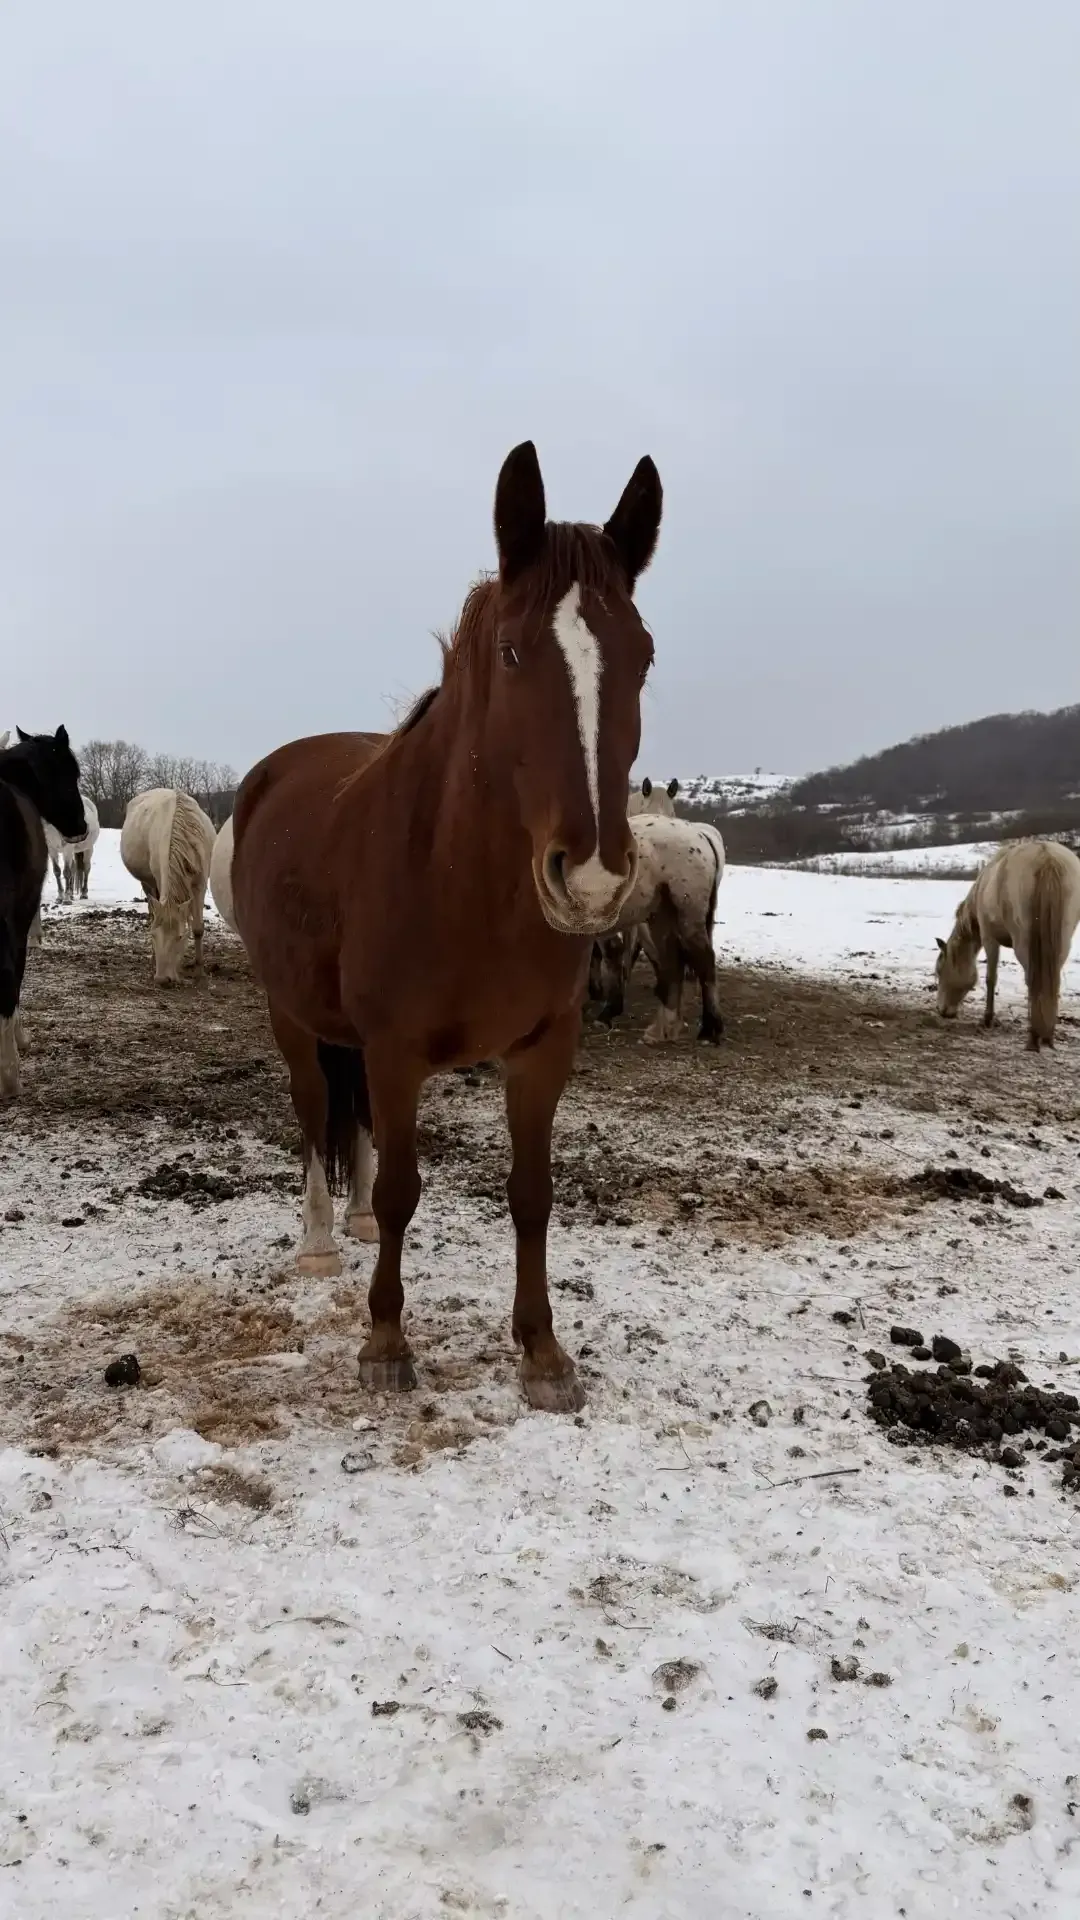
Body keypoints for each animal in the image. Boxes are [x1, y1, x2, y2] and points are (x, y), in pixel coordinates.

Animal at [120, 788, 217, 985]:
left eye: (179, 937)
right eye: (153, 935)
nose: (162, 979)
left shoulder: (200, 884)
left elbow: (198, 928)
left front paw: (200, 970)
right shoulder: (158, 878)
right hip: (148, 883)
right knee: (152, 910)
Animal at [231, 440, 662, 1413]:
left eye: (645, 657)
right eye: (511, 652)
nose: (591, 877)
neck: (461, 885)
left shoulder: (544, 1050)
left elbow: (532, 1193)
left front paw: (543, 1352)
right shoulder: (397, 1052)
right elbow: (402, 1189)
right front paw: (386, 1343)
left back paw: (349, 1222)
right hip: (291, 1013)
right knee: (313, 1110)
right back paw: (322, 1238)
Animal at [593, 814, 725, 1043]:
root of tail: (699, 833)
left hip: (687, 916)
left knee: (703, 963)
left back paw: (709, 1029)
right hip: (660, 918)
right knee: (672, 964)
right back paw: (664, 1029)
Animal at [936, 839, 1080, 1050]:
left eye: (939, 971)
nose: (942, 1010)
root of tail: (1047, 857)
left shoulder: (989, 938)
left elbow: (991, 978)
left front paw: (988, 1019)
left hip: (1024, 944)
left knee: (1032, 980)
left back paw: (1034, 1037)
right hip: (1061, 943)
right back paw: (1047, 1036)